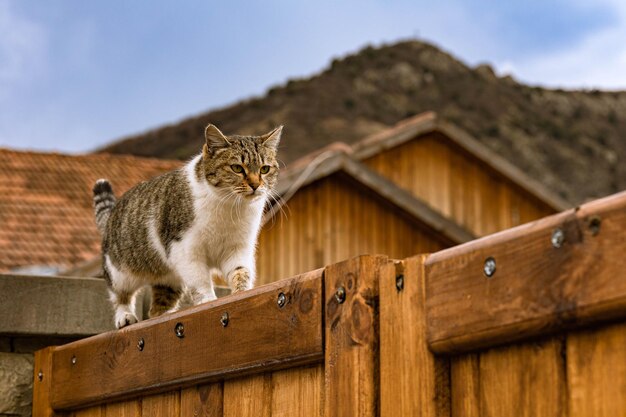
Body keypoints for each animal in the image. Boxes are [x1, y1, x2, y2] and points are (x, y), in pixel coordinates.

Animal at [91, 123, 280, 328]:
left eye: (264, 169)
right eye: (237, 168)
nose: (255, 185)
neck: (230, 207)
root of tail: (112, 213)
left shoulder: (238, 248)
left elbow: (241, 272)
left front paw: (241, 294)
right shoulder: (184, 249)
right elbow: (200, 280)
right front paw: (207, 301)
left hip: (168, 280)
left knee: (156, 308)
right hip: (120, 271)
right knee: (120, 295)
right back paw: (124, 316)